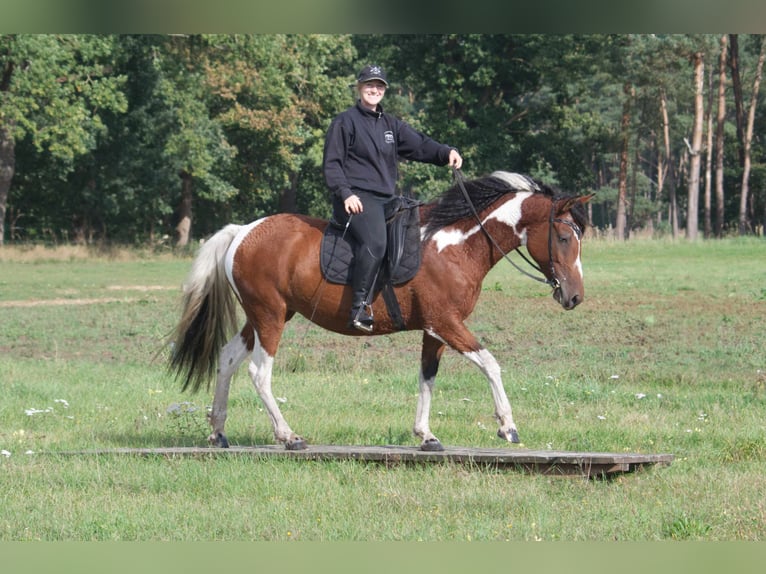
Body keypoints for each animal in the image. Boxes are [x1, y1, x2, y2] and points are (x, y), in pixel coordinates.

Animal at [170, 171, 592, 454]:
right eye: (564, 237)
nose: (574, 297)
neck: (455, 245)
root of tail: (243, 231)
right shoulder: (447, 323)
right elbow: (490, 364)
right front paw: (508, 426)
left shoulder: (434, 330)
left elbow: (427, 378)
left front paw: (426, 435)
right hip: (270, 316)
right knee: (260, 373)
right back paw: (288, 436)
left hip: (264, 316)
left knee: (227, 359)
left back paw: (217, 431)